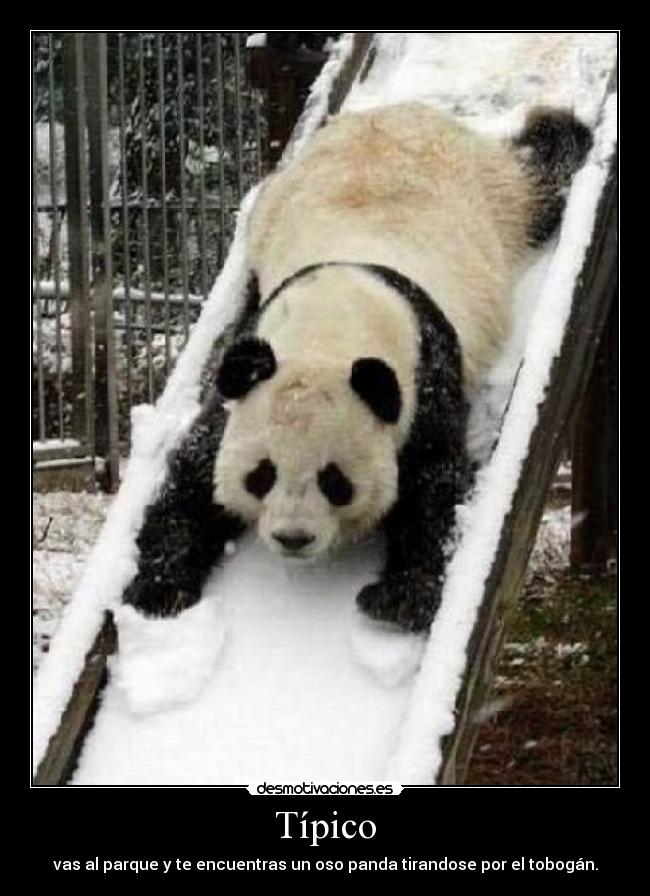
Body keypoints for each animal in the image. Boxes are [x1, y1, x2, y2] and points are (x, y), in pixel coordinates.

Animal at [124, 102, 591, 634]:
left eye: (334, 480)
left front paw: (399, 599)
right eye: (262, 474)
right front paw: (159, 587)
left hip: (491, 192)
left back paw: (556, 126)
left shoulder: (425, 377)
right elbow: (195, 472)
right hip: (276, 201)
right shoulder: (249, 375)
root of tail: (407, 110)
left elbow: (436, 486)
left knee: (537, 179)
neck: (329, 329)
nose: (293, 538)